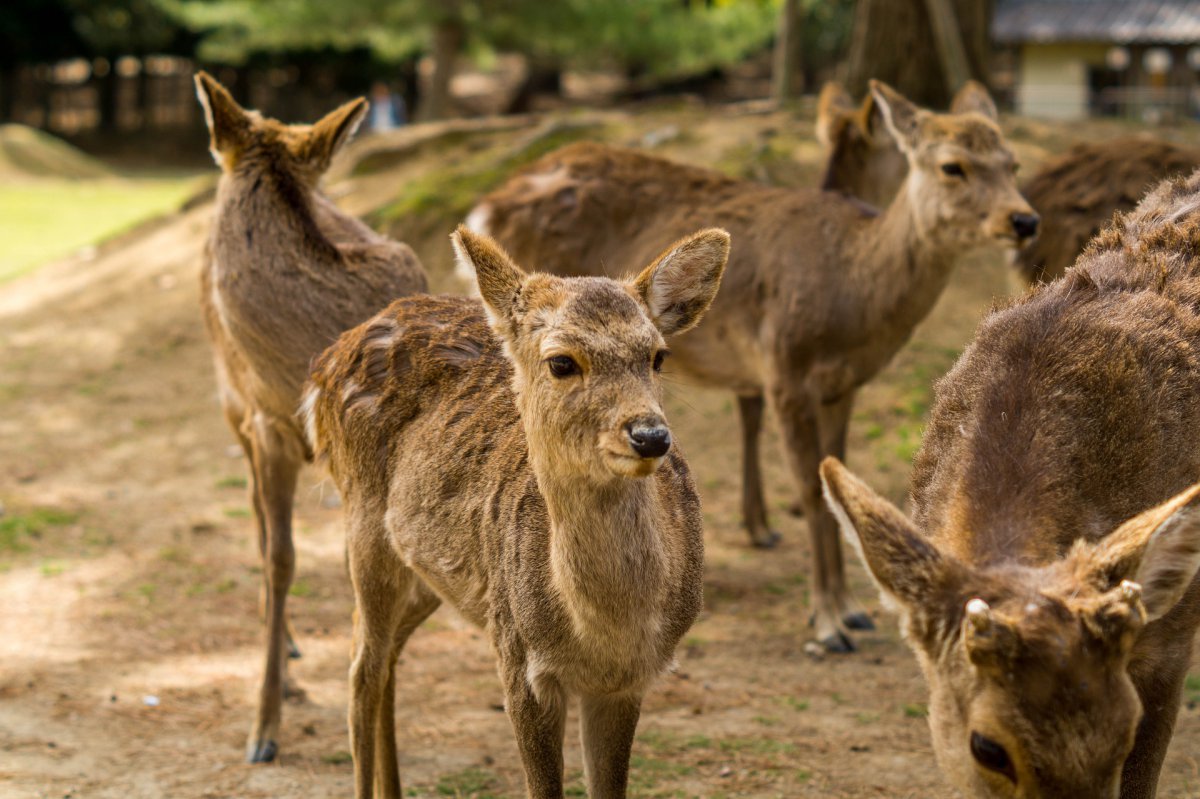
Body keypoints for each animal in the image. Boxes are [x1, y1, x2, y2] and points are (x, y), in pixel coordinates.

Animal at [304, 224, 724, 796]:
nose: (651, 435)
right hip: (362, 522)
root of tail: (326, 363)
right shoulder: (519, 661)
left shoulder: (629, 680)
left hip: (436, 573)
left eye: (658, 356)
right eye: (561, 361)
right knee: (361, 667)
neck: (604, 635)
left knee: (382, 651)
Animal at [463, 80, 1036, 652]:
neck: (855, 297)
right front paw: (829, 622)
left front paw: (850, 608)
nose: (1025, 220)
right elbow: (808, 488)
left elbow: (832, 475)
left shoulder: (844, 384)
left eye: (1013, 162)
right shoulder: (785, 367)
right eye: (952, 166)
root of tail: (485, 207)